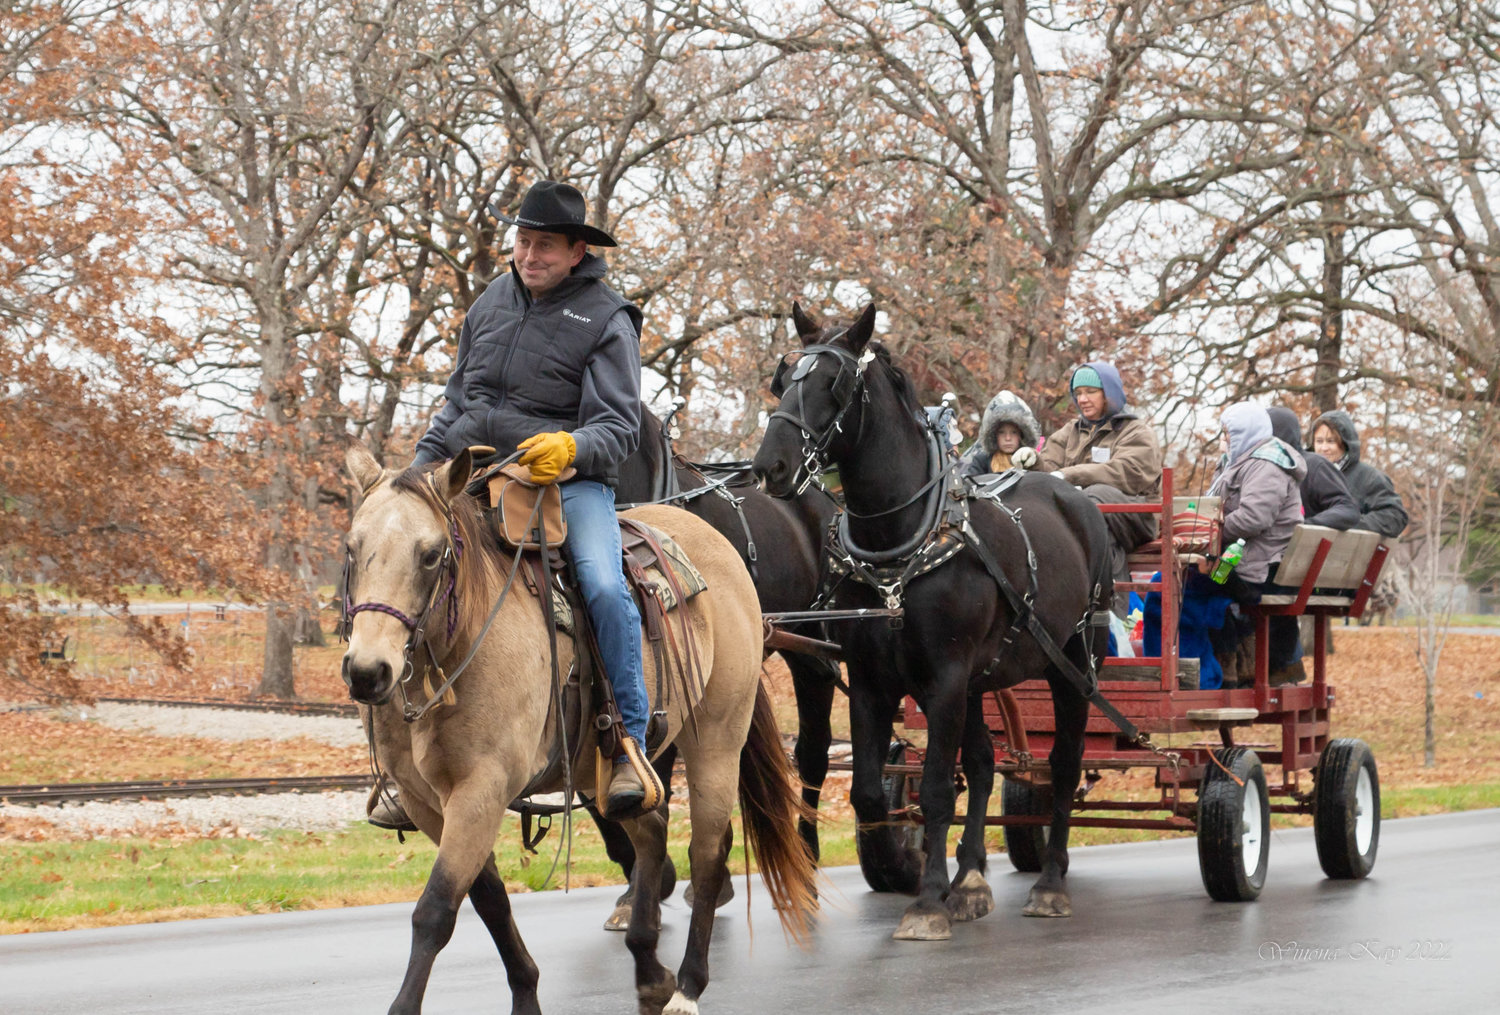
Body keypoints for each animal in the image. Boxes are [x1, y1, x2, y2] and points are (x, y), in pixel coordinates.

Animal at [342, 443, 822, 1013]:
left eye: (431, 554)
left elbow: (435, 911)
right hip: (602, 771)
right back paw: (647, 965)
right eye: (352, 548)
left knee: (706, 854)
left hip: (717, 740)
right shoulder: (427, 801)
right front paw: (526, 994)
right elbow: (489, 900)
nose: (368, 671)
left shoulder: (481, 790)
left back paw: (686, 986)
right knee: (651, 830)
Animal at [750, 302, 1116, 941]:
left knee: (1064, 766)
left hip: (1072, 663)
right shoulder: (874, 679)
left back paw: (1050, 882)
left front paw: (925, 904)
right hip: (977, 682)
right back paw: (970, 880)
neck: (899, 543)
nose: (771, 465)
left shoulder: (944, 677)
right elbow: (873, 793)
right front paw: (930, 877)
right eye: (783, 378)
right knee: (987, 763)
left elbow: (941, 789)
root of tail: (1076, 499)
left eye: (833, 384)